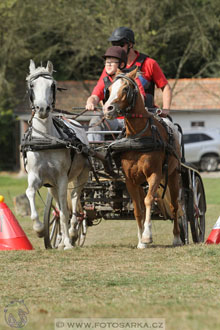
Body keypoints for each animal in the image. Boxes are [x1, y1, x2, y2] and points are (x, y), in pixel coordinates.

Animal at [24, 60, 89, 250]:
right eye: (32, 85)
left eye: (52, 85)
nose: (42, 108)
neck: (46, 141)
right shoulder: (35, 176)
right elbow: (30, 192)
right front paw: (39, 229)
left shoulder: (62, 178)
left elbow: (66, 210)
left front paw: (68, 242)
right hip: (50, 185)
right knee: (59, 207)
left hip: (81, 176)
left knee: (73, 201)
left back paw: (72, 233)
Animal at [103, 70, 182, 250]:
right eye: (109, 89)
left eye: (125, 88)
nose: (107, 108)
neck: (138, 137)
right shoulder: (130, 180)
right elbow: (137, 209)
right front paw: (140, 241)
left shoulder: (155, 175)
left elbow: (148, 200)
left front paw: (147, 236)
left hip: (173, 175)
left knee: (175, 206)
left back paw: (177, 238)